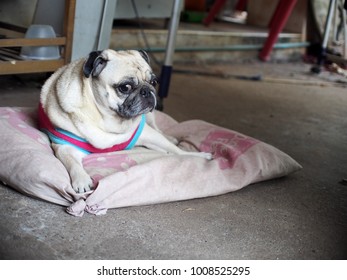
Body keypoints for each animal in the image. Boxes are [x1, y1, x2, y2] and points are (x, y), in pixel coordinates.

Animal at [38, 49, 212, 194]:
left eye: (153, 82)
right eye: (125, 87)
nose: (147, 91)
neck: (110, 121)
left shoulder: (148, 134)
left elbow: (176, 150)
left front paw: (197, 155)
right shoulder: (64, 146)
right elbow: (73, 164)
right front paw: (81, 180)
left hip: (151, 119)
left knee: (160, 131)